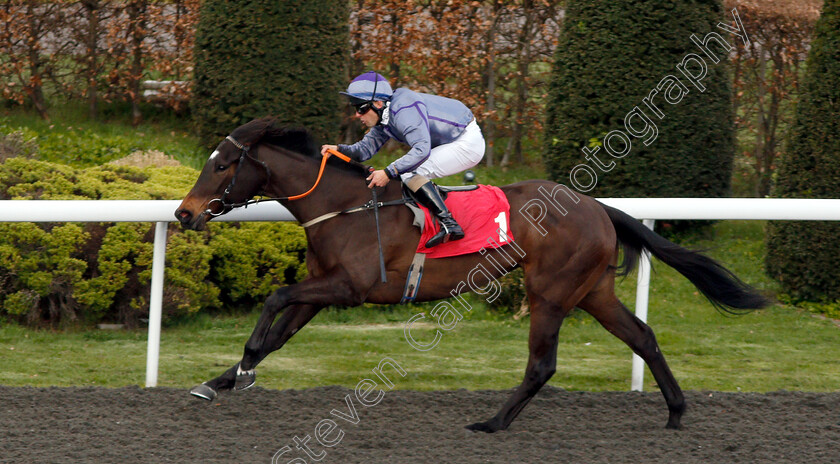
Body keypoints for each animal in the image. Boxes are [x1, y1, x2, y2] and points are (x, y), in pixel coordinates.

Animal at [176, 117, 768, 432]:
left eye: (222, 165)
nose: (183, 214)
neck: (341, 206)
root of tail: (597, 207)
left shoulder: (350, 287)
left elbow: (275, 298)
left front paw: (243, 366)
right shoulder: (323, 291)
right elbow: (280, 330)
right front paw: (220, 379)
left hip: (551, 291)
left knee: (543, 364)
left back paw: (493, 422)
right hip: (593, 291)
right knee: (643, 336)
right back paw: (676, 412)